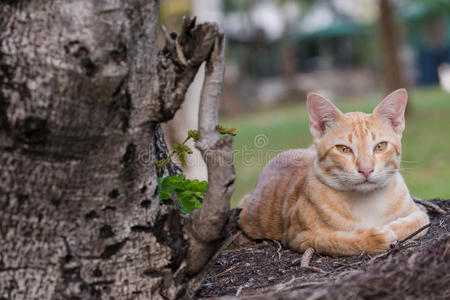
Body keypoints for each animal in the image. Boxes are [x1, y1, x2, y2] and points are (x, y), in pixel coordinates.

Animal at [239, 88, 428, 255]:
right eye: (344, 149)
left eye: (380, 146)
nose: (366, 169)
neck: (367, 201)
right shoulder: (299, 237)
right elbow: (335, 240)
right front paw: (374, 238)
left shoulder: (420, 213)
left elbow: (414, 223)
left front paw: (391, 227)